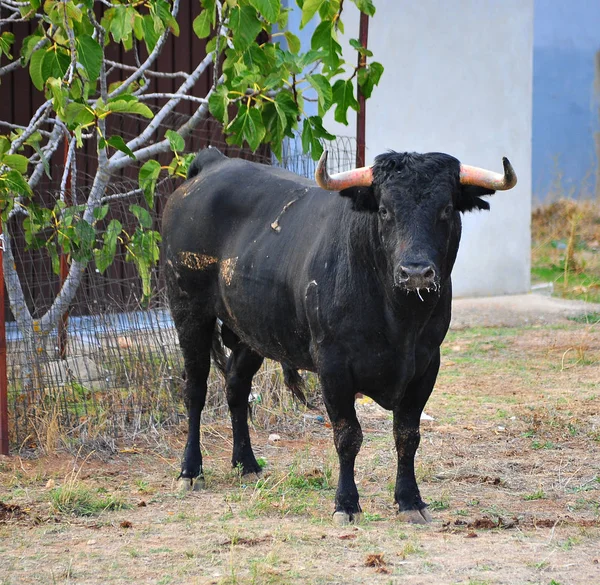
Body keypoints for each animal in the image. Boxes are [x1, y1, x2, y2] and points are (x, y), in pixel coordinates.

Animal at [163, 148, 516, 524]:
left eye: (446, 209)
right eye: (385, 210)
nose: (416, 273)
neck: (399, 320)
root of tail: (213, 163)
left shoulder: (426, 364)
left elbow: (407, 435)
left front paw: (410, 501)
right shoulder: (333, 366)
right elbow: (348, 436)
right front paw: (346, 503)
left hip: (251, 330)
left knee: (236, 387)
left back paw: (247, 464)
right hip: (189, 311)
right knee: (195, 390)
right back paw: (190, 471)